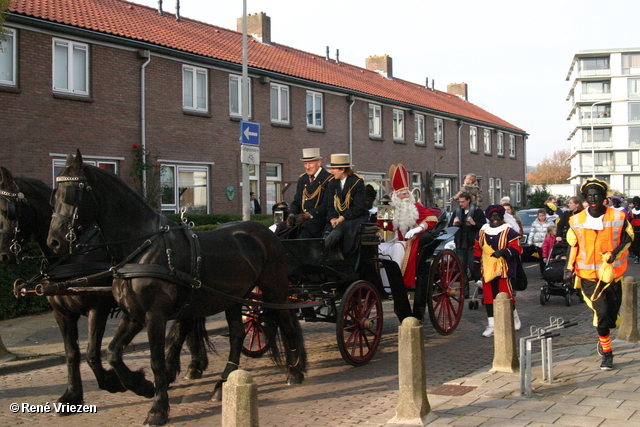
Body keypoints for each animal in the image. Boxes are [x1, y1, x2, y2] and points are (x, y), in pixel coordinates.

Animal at [0, 166, 209, 412]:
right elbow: (71, 353)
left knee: (184, 327)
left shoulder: (97, 307)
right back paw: (191, 366)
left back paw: (183, 368)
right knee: (187, 324)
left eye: (7, 211)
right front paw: (72, 395)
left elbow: (91, 353)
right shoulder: (62, 312)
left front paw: (116, 382)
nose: (3, 255)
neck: (72, 256)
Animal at [46, 152, 306, 426]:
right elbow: (112, 352)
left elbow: (156, 361)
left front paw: (157, 409)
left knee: (287, 321)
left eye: (72, 193)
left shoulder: (154, 315)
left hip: (273, 287)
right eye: (54, 194)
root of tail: (266, 232)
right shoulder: (133, 314)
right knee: (237, 334)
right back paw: (223, 383)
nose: (54, 241)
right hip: (234, 297)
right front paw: (140, 386)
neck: (143, 246)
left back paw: (295, 370)